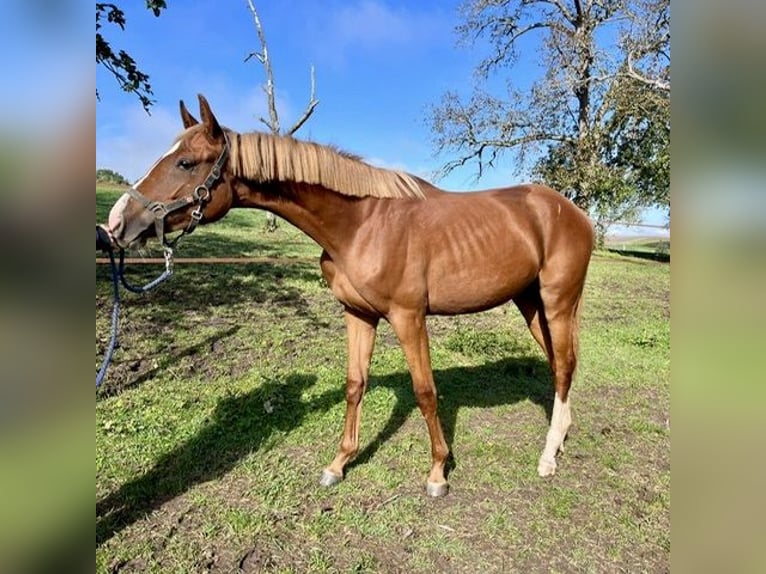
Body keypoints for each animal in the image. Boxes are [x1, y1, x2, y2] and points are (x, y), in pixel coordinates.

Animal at [103, 95, 592, 500]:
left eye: (186, 162)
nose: (117, 224)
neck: (361, 224)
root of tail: (575, 212)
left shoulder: (409, 317)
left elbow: (425, 391)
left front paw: (438, 472)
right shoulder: (358, 315)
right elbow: (355, 385)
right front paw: (339, 463)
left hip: (557, 302)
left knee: (564, 366)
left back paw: (547, 458)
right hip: (530, 303)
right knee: (559, 366)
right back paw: (560, 437)